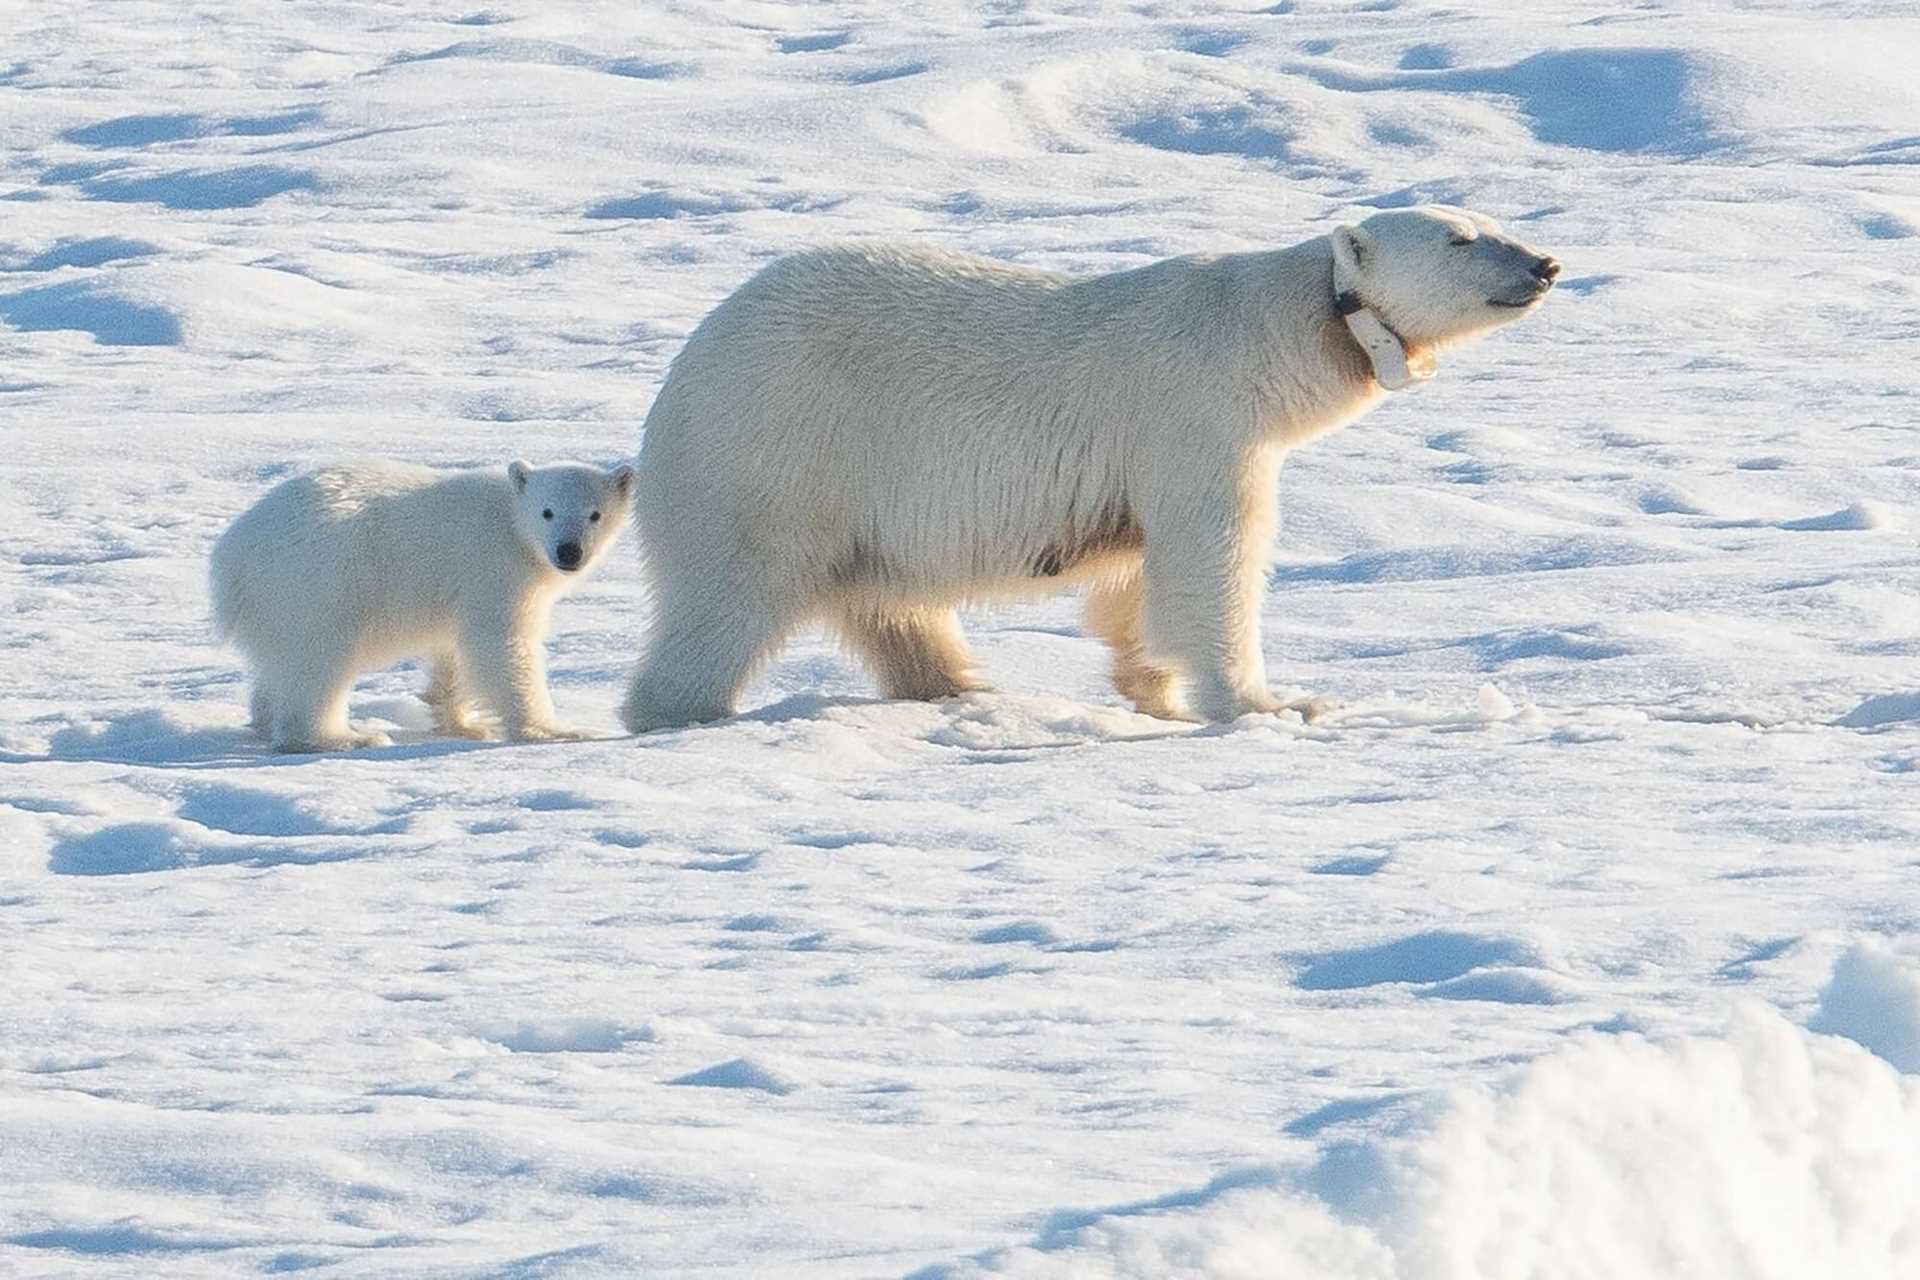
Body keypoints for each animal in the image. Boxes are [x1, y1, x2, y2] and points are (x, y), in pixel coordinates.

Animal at [211, 458, 633, 752]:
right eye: (547, 511)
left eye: (595, 514)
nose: (569, 551)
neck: (512, 524)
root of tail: (231, 557)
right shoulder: (493, 569)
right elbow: (501, 644)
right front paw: (550, 730)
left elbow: (453, 649)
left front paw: (461, 722)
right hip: (321, 580)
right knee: (318, 661)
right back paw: (343, 737)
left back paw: (266, 719)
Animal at [622, 210, 1551, 729]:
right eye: (1461, 237)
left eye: (1487, 216)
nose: (1545, 264)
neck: (1277, 329)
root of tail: (679, 377)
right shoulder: (1195, 415)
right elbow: (1215, 558)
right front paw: (1275, 704)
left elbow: (1137, 579)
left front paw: (1152, 689)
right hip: (780, 452)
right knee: (729, 596)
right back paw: (679, 709)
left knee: (891, 605)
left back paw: (958, 687)